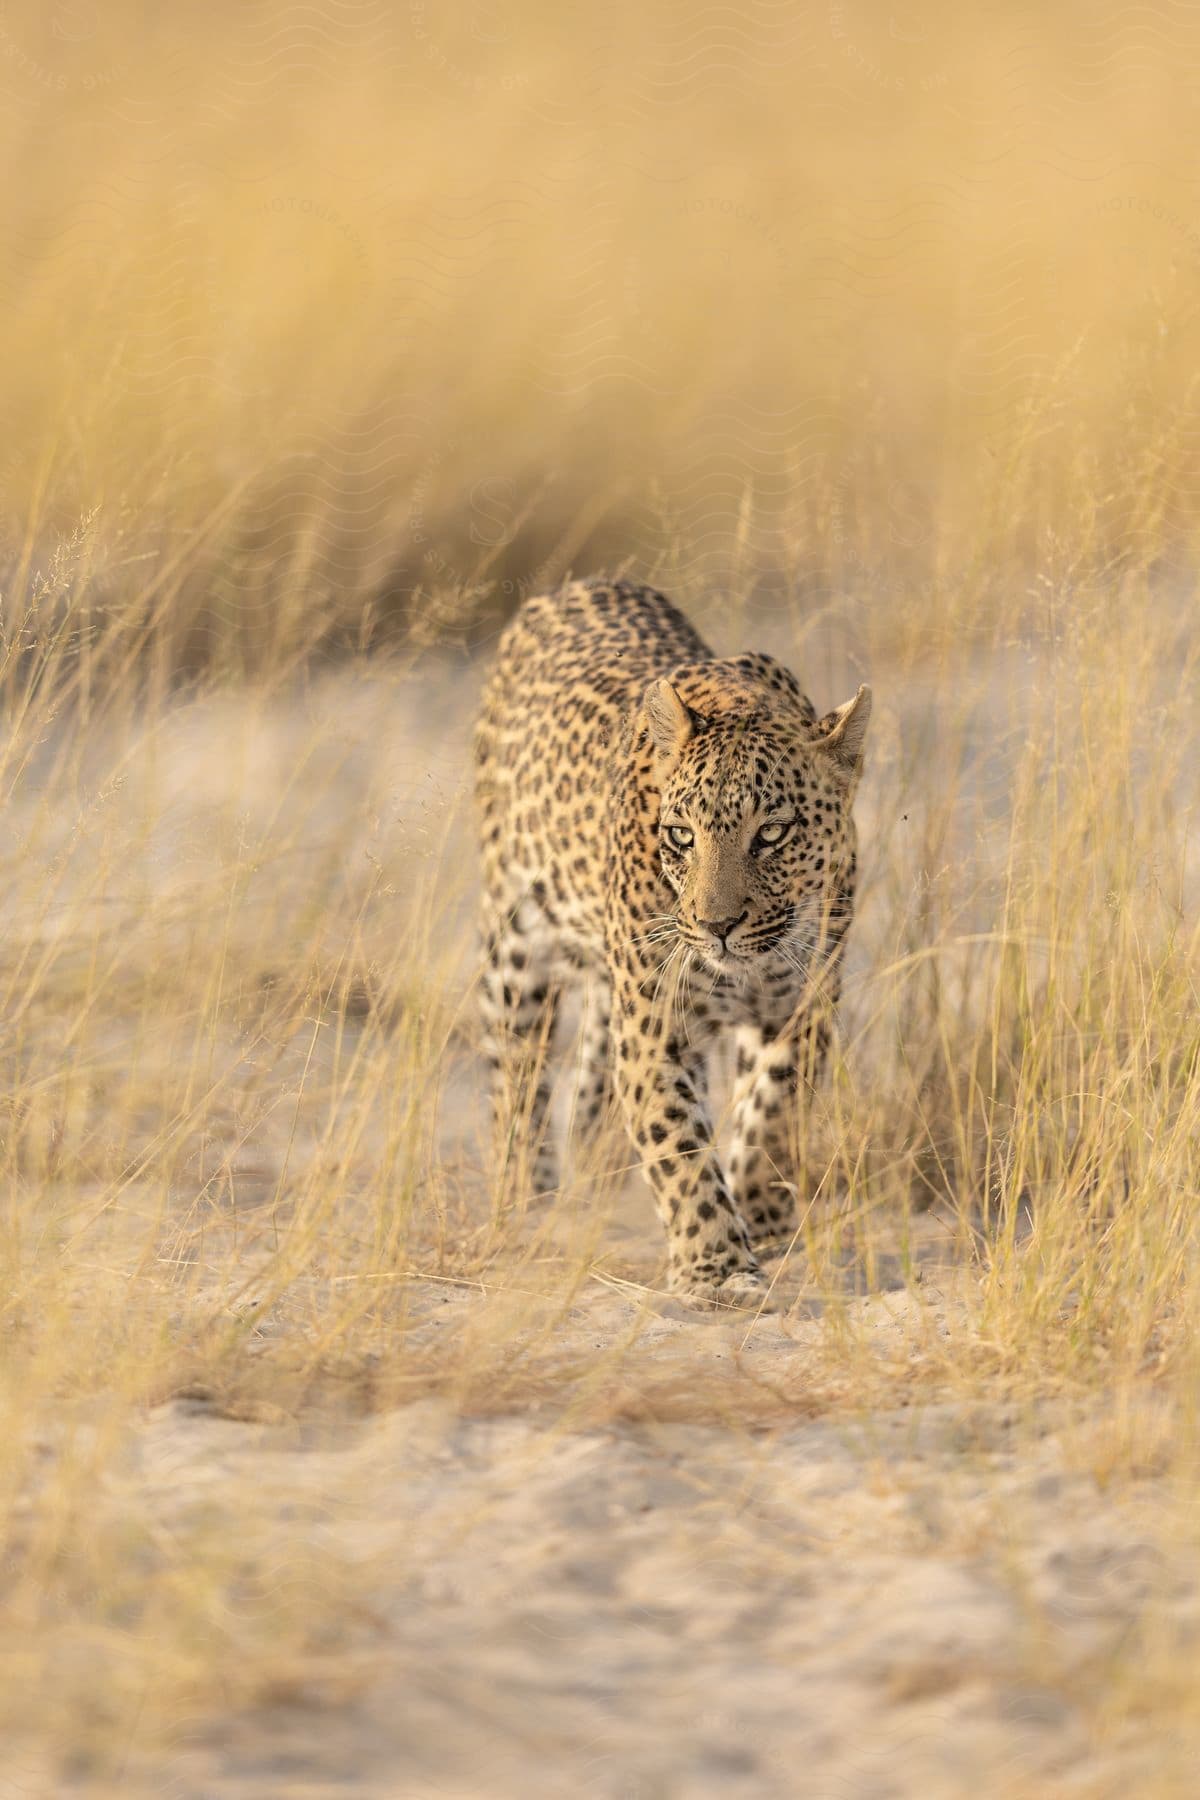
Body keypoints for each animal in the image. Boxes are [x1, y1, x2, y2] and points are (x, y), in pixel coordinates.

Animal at [471, 579, 874, 1310]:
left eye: (772, 833)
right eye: (682, 835)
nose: (718, 925)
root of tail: (579, 584)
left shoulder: (800, 1008)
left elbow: (772, 1114)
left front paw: (760, 1214)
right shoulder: (657, 1025)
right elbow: (677, 1144)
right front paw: (717, 1271)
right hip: (515, 940)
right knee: (518, 1070)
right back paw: (526, 1198)